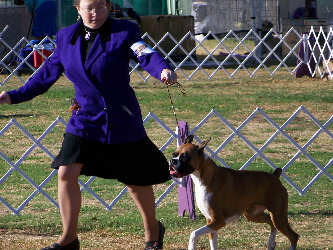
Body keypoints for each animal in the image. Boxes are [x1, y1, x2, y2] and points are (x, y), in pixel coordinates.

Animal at [169, 136, 298, 250]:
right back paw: (271, 243)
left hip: (278, 216)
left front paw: (191, 246)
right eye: (174, 154)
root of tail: (275, 176)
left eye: (185, 157)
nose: (172, 161)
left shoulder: (218, 221)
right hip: (251, 214)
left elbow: (194, 233)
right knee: (271, 223)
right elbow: (212, 244)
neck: (205, 177)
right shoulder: (210, 221)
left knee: (293, 236)